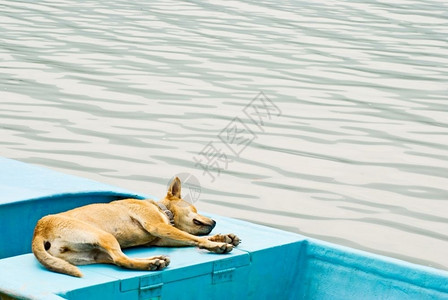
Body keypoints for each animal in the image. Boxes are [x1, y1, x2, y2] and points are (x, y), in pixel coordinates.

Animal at [32, 177, 240, 278]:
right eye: (195, 209)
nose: (214, 222)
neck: (161, 209)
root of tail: (39, 231)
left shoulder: (164, 238)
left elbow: (193, 238)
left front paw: (223, 237)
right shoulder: (158, 227)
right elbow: (196, 239)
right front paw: (217, 244)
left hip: (92, 254)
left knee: (119, 260)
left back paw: (155, 260)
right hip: (104, 236)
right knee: (121, 259)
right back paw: (151, 264)